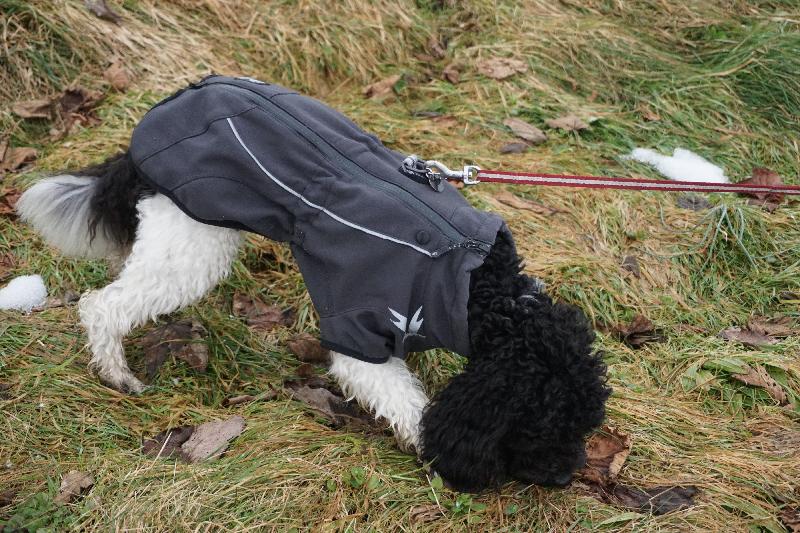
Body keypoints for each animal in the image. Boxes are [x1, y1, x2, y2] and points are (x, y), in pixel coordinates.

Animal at [17, 75, 610, 492]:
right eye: (543, 423)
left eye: (585, 422)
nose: (566, 477)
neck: (482, 290)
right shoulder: (359, 333)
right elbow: (407, 403)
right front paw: (430, 451)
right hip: (192, 241)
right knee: (102, 305)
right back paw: (118, 375)